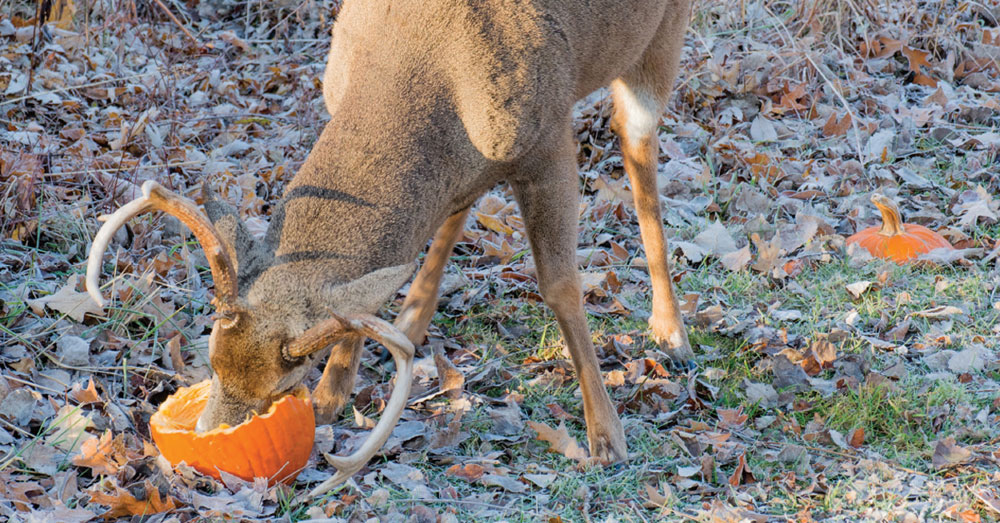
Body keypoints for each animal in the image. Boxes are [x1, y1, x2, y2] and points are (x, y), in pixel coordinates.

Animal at [88, 0, 696, 496]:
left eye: (287, 381)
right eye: (211, 358)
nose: (207, 441)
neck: (430, 66)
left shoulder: (546, 138)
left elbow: (561, 286)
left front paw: (607, 437)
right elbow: (365, 288)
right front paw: (334, 392)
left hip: (662, 41)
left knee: (638, 150)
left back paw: (672, 332)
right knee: (455, 211)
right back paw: (411, 320)